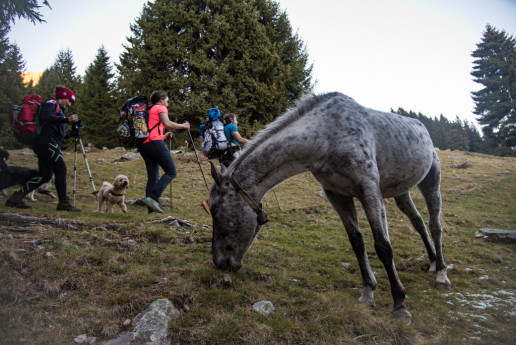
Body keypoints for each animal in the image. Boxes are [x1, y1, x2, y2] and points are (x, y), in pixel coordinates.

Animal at [210, 90, 452, 318]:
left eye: (214, 209)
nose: (219, 262)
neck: (327, 136)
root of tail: (423, 129)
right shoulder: (337, 195)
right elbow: (357, 242)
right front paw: (368, 292)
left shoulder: (370, 191)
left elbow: (383, 246)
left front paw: (400, 305)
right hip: (402, 193)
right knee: (418, 222)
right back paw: (432, 262)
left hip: (431, 182)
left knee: (435, 225)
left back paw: (441, 273)